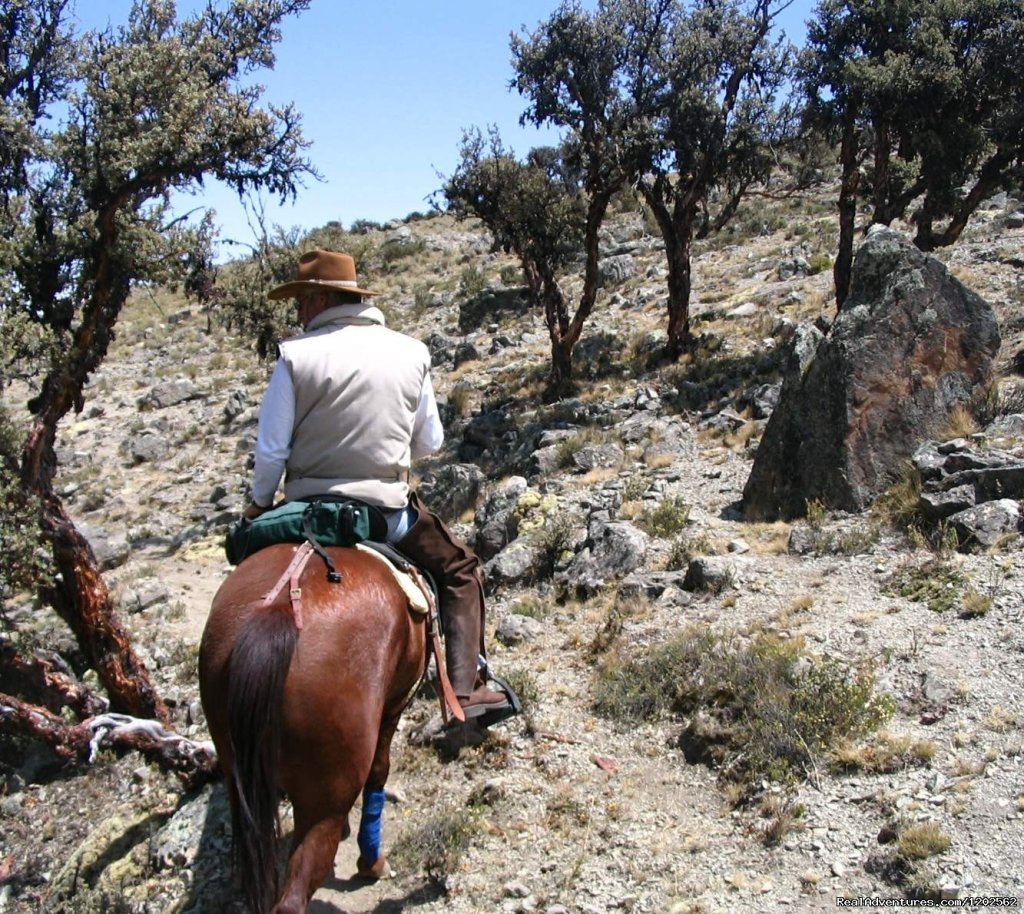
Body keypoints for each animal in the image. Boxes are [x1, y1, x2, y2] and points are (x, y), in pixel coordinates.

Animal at [197, 544, 425, 908]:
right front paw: (370, 863)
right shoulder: (393, 706)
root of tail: (278, 611)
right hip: (325, 801)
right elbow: (379, 772)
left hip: (237, 772)